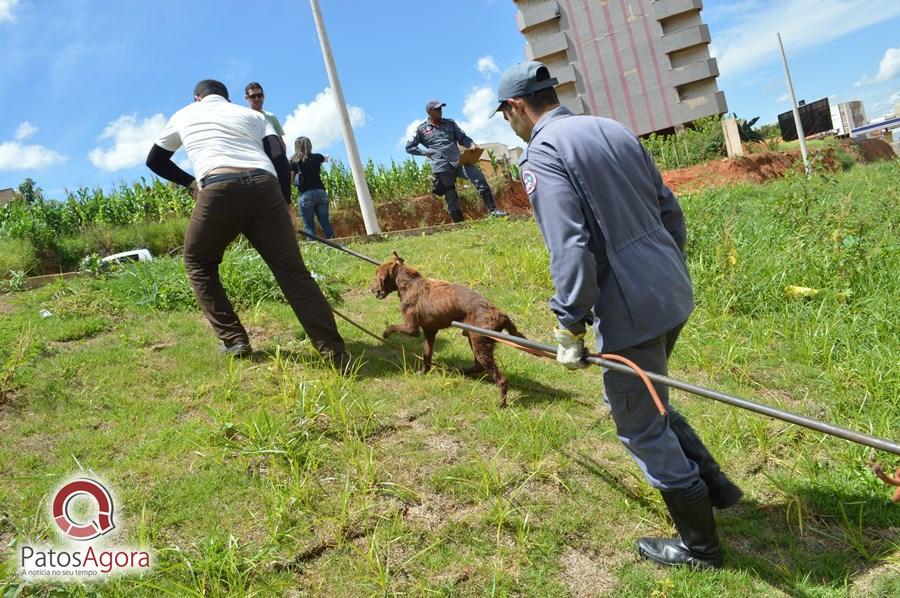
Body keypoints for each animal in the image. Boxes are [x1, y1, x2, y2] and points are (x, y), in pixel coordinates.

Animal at [368, 251, 520, 406]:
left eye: (377, 275)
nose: (371, 289)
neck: (409, 283)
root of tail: (501, 314)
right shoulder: (429, 331)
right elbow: (426, 356)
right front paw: (423, 372)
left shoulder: (412, 328)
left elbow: (393, 326)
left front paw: (385, 333)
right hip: (473, 338)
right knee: (478, 366)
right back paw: (461, 371)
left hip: (480, 343)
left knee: (500, 378)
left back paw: (501, 404)